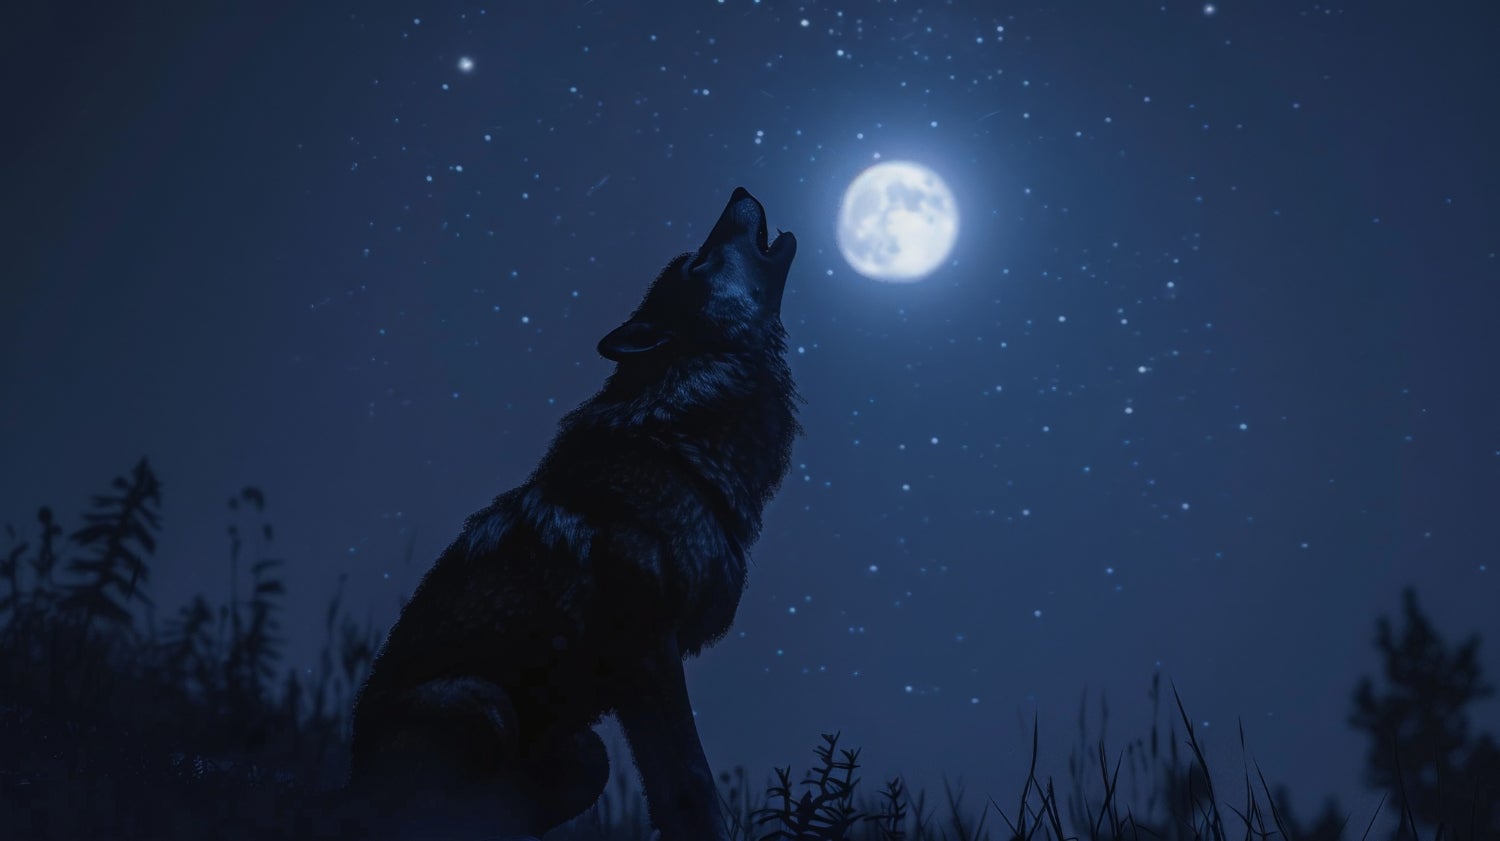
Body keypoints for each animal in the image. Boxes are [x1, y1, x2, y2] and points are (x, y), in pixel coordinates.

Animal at [349, 187, 799, 841]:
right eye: (697, 263)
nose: (740, 191)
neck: (677, 439)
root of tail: (349, 774)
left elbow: (672, 790)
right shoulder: (647, 649)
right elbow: (692, 784)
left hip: (584, 755)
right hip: (485, 707)